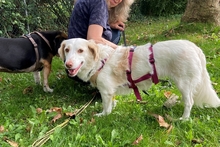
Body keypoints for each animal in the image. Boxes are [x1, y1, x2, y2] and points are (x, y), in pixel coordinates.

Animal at [58, 38, 220, 119]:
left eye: (80, 50)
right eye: (67, 50)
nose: (68, 65)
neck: (100, 61)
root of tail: (194, 47)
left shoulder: (105, 91)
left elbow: (106, 108)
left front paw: (103, 115)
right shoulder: (110, 91)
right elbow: (112, 103)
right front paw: (112, 108)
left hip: (183, 84)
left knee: (189, 102)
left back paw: (184, 118)